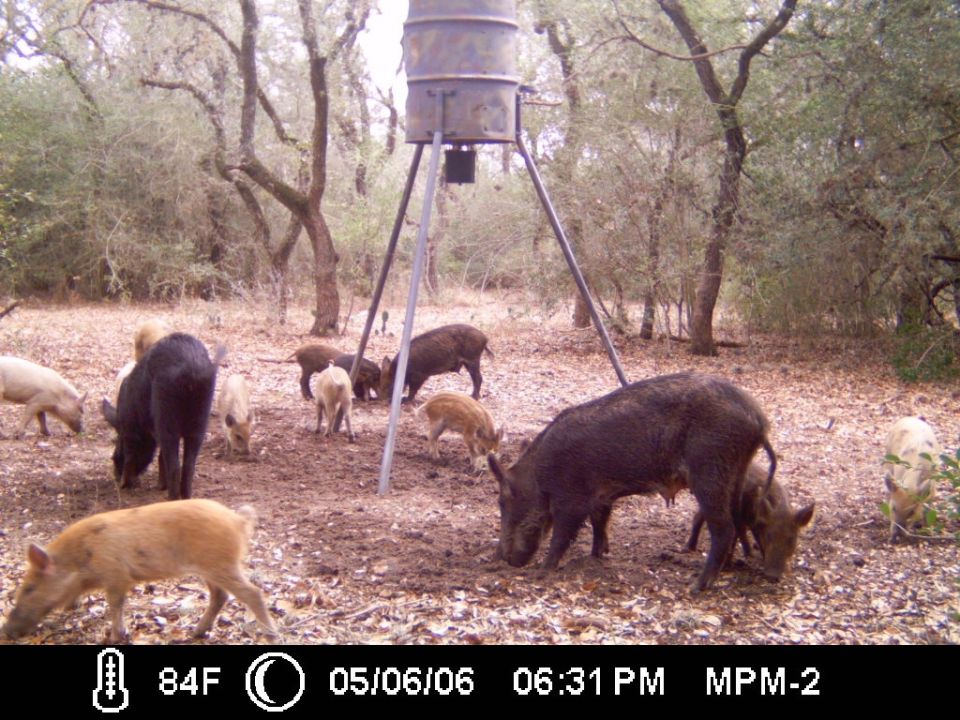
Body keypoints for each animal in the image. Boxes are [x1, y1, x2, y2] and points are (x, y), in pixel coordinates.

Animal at [2, 499, 277, 643]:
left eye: (29, 588)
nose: (6, 630)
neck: (79, 560)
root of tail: (237, 520)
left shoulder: (116, 575)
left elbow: (116, 605)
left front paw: (115, 636)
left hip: (221, 564)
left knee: (253, 593)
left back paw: (271, 634)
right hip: (211, 570)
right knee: (220, 596)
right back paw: (195, 633)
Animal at [102, 333, 224, 500]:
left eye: (118, 439)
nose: (116, 476)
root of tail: (192, 370)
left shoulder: (131, 431)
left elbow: (132, 454)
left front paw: (126, 484)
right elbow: (160, 456)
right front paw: (160, 486)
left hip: (167, 417)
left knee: (175, 466)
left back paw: (172, 499)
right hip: (200, 420)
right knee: (188, 466)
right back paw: (185, 498)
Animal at [488, 372, 776, 593]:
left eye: (503, 501)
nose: (501, 558)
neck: (540, 473)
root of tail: (759, 420)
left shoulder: (572, 500)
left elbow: (562, 534)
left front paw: (543, 570)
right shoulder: (601, 497)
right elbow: (599, 524)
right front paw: (596, 556)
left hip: (710, 471)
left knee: (724, 528)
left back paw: (697, 587)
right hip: (736, 474)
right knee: (736, 521)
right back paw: (725, 569)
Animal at [685, 462, 815, 580]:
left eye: (792, 539)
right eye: (769, 537)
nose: (773, 576)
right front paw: (727, 568)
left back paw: (749, 553)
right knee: (697, 518)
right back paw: (689, 548)